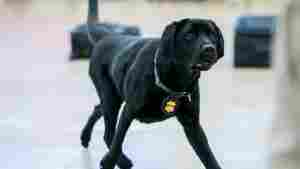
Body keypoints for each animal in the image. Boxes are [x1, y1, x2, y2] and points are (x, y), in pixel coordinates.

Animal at [81, 18, 224, 169]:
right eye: (189, 35)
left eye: (212, 35)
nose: (209, 48)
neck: (174, 80)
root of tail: (105, 38)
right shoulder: (129, 111)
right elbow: (117, 142)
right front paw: (108, 162)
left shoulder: (192, 123)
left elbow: (207, 155)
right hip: (110, 98)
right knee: (108, 135)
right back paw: (122, 161)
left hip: (113, 98)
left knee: (98, 109)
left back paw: (85, 137)